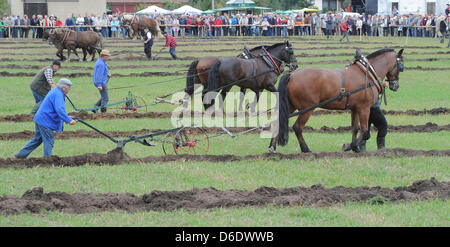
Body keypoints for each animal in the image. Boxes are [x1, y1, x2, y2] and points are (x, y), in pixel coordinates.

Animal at [268, 48, 404, 152]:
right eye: (400, 66)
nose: (395, 85)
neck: (366, 73)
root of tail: (291, 75)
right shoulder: (364, 108)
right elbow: (365, 131)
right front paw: (352, 146)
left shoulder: (355, 109)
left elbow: (355, 128)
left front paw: (353, 147)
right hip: (307, 109)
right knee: (297, 127)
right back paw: (306, 149)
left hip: (290, 106)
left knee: (277, 122)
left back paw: (272, 147)